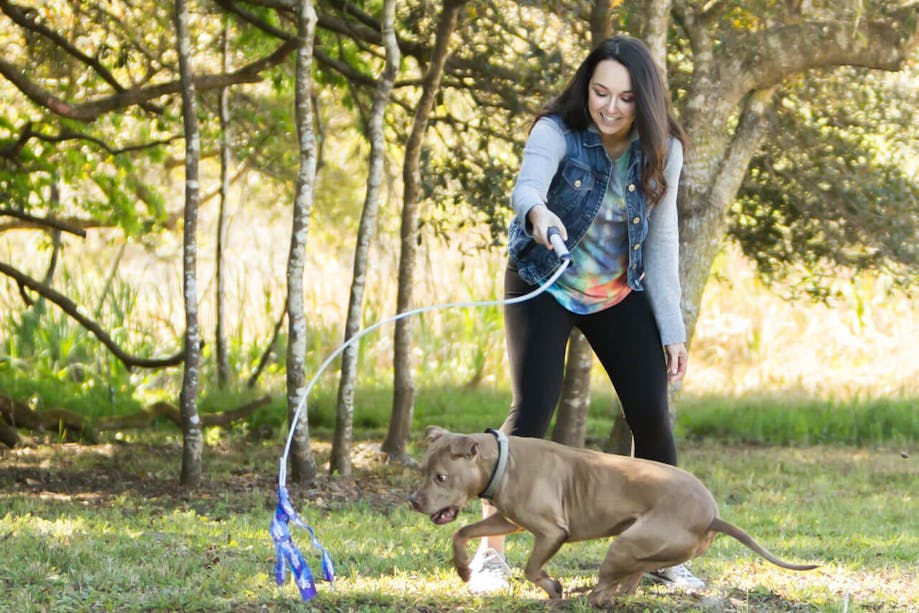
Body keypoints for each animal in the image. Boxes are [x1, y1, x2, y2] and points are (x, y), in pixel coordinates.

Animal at [412, 428, 820, 604]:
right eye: (423, 470)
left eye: (441, 477)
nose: (414, 501)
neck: (503, 462)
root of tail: (712, 516)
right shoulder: (508, 520)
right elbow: (462, 532)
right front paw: (463, 569)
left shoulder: (551, 532)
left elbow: (531, 569)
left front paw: (553, 588)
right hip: (638, 546)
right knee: (628, 580)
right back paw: (608, 592)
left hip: (625, 544)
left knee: (607, 589)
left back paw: (584, 597)